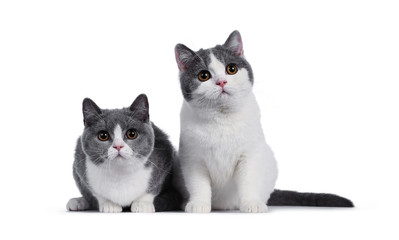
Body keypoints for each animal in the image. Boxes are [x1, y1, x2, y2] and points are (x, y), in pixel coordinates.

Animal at [175, 31, 354, 213]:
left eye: (231, 69)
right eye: (203, 76)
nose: (221, 82)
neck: (222, 119)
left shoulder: (250, 154)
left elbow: (248, 180)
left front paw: (251, 203)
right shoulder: (193, 159)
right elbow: (198, 185)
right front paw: (198, 204)